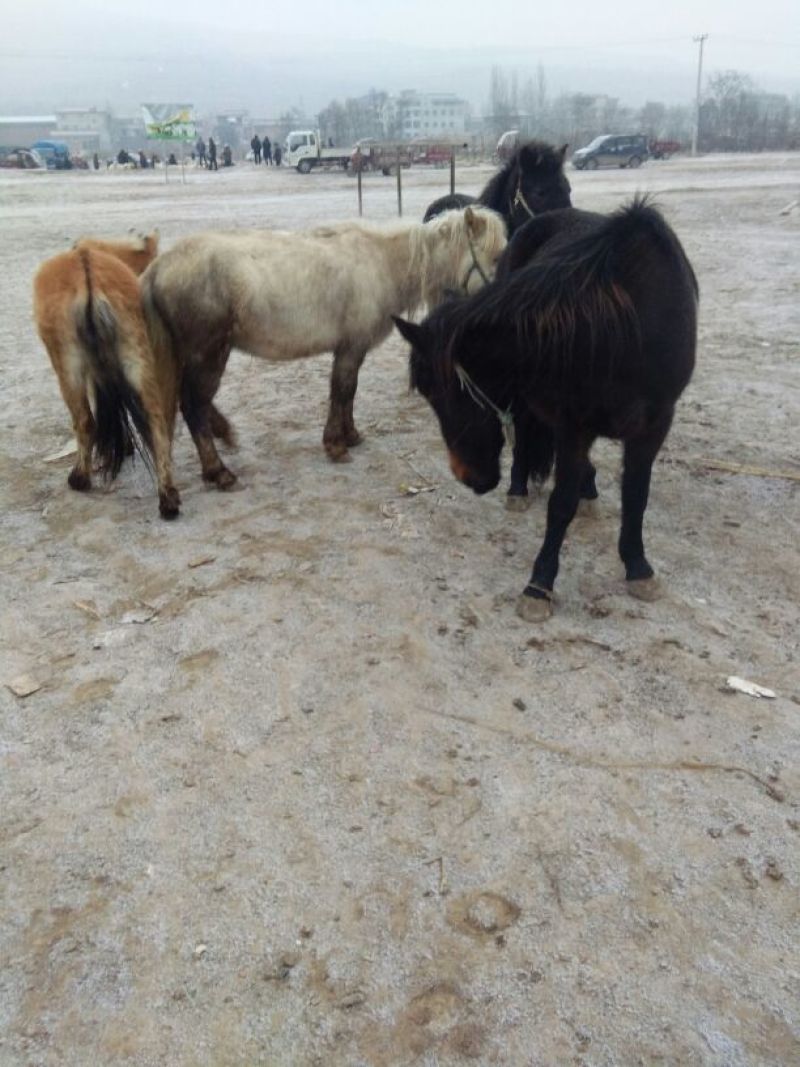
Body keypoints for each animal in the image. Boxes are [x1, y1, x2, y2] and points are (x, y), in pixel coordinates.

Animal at [33, 232, 182, 519]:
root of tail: (87, 274)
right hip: (137, 357)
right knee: (157, 421)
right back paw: (167, 497)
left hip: (68, 367)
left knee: (84, 421)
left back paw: (79, 478)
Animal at [141, 206, 507, 488]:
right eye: (496, 256)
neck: (381, 262)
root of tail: (158, 267)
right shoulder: (350, 347)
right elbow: (342, 390)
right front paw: (335, 444)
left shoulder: (352, 349)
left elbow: (347, 392)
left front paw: (350, 435)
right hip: (208, 355)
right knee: (193, 405)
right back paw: (217, 471)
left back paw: (223, 434)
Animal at [395, 197, 698, 622]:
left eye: (439, 392)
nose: (468, 476)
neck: (624, 328)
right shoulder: (575, 424)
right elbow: (561, 503)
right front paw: (540, 584)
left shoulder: (654, 425)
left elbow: (636, 495)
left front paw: (638, 567)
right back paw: (522, 487)